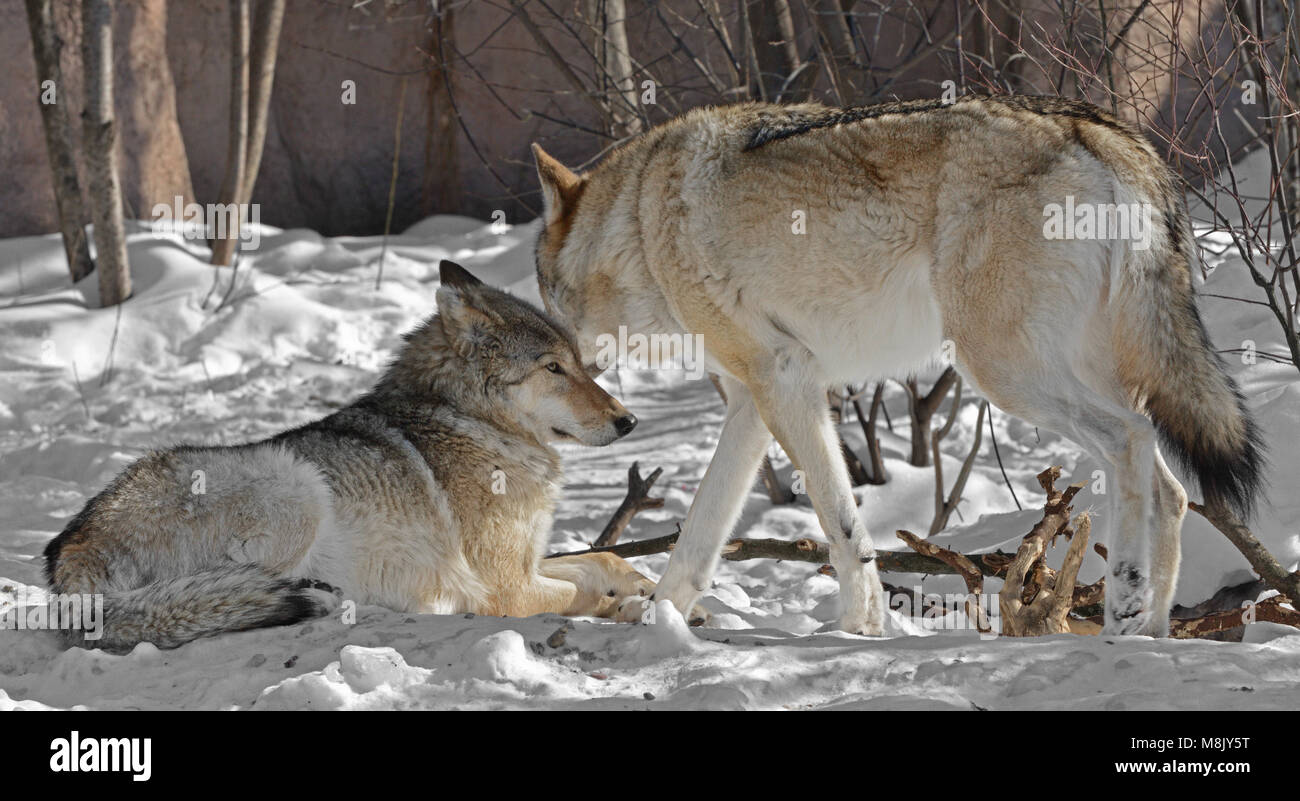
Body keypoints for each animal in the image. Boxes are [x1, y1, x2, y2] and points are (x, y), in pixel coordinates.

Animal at [45, 260, 654, 652]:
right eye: (554, 368)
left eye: (579, 364)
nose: (629, 420)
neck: (470, 420)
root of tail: (71, 548)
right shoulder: (505, 585)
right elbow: (579, 589)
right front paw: (630, 606)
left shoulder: (528, 561)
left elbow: (602, 561)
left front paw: (643, 584)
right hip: (294, 486)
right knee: (245, 592)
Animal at [530, 96, 1263, 637]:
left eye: (545, 296)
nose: (555, 355)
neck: (639, 222)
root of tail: (1098, 129)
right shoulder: (752, 400)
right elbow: (701, 534)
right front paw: (659, 618)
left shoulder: (785, 377)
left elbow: (839, 519)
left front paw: (862, 625)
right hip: (1086, 373)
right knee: (1173, 489)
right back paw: (1146, 634)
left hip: (1002, 372)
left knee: (1131, 442)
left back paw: (1126, 609)